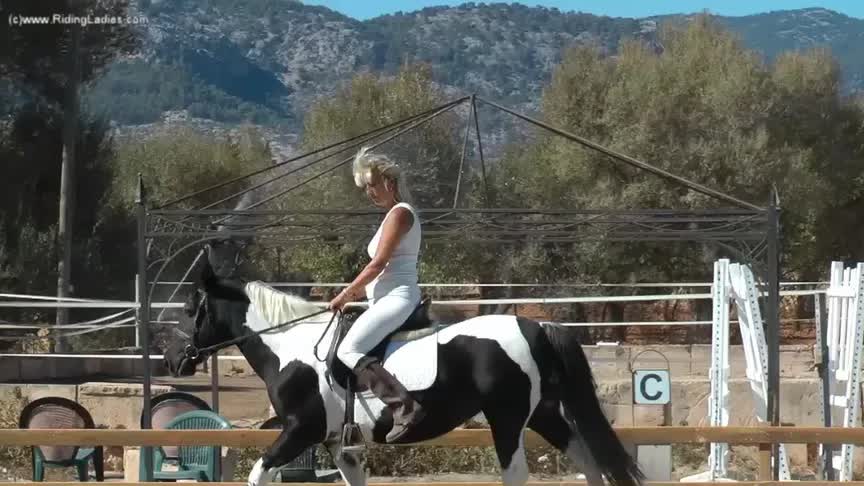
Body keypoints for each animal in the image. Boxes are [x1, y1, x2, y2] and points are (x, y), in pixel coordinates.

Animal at [165, 260, 644, 486]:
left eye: (189, 309)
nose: (172, 359)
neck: (290, 348)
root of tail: (536, 325)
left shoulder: (299, 431)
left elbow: (258, 473)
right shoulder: (339, 444)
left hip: (507, 419)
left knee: (518, 473)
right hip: (543, 413)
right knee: (590, 461)